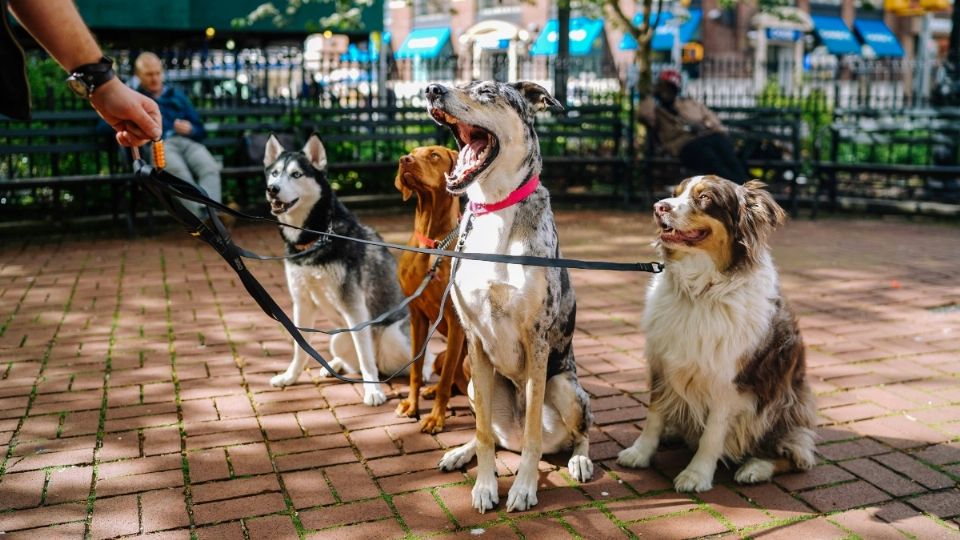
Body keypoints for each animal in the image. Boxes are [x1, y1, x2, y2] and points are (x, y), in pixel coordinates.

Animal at [260, 134, 430, 404]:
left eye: (296, 174)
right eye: (274, 173)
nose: (272, 189)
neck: (316, 238)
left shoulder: (354, 305)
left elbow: (364, 354)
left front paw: (373, 391)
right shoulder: (302, 302)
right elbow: (300, 347)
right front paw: (290, 377)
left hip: (392, 337)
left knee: (416, 357)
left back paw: (420, 372)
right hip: (338, 338)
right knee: (356, 361)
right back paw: (335, 365)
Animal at [394, 146, 468, 432]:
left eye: (434, 155)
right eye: (411, 152)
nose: (404, 160)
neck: (432, 244)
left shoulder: (456, 321)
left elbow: (446, 380)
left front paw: (436, 418)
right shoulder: (417, 316)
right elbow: (415, 370)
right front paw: (411, 405)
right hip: (440, 355)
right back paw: (430, 390)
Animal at [426, 81, 592, 516]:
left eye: (486, 91)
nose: (432, 88)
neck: (495, 208)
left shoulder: (536, 340)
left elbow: (533, 432)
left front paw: (523, 488)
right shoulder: (474, 339)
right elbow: (484, 433)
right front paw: (485, 486)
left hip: (566, 388)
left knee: (578, 434)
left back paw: (580, 460)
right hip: (472, 383)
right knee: (493, 434)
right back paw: (460, 453)